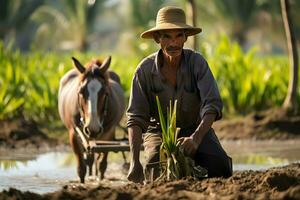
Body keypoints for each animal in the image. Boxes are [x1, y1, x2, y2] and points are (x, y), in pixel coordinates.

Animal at [58, 55, 125, 183]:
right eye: (81, 91)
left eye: (105, 92)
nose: (92, 128)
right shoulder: (73, 133)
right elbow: (81, 168)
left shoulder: (108, 135)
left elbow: (102, 164)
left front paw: (100, 180)